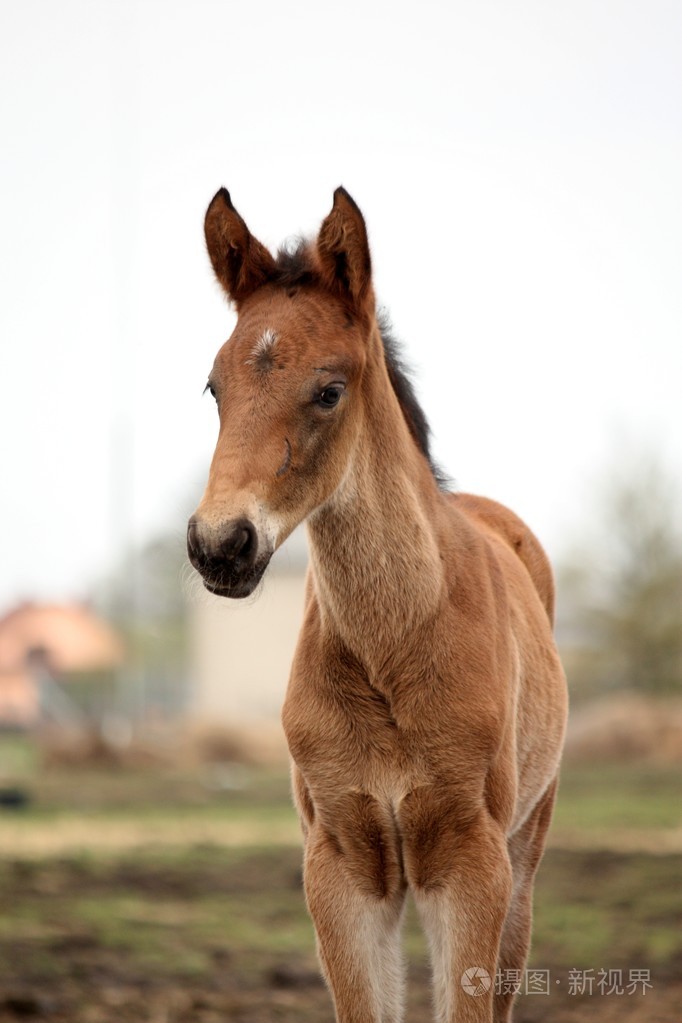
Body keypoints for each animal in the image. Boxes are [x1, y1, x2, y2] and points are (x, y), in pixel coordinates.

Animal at [187, 188, 564, 1018]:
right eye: (214, 387)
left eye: (330, 390)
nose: (219, 544)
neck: (395, 646)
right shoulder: (341, 863)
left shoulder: (471, 862)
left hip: (526, 853)